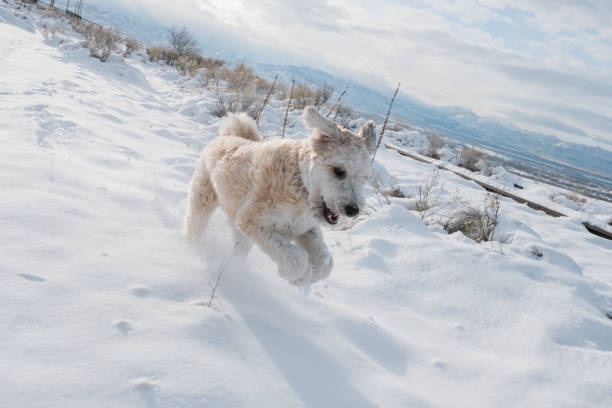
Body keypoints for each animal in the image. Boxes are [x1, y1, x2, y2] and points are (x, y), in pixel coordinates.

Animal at [185, 107, 378, 286]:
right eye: (339, 171)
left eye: (364, 178)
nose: (353, 210)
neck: (299, 183)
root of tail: (227, 135)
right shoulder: (252, 221)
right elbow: (296, 259)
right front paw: (299, 276)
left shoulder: (306, 229)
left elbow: (325, 263)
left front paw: (310, 276)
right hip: (203, 200)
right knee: (194, 227)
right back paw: (195, 252)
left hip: (240, 231)